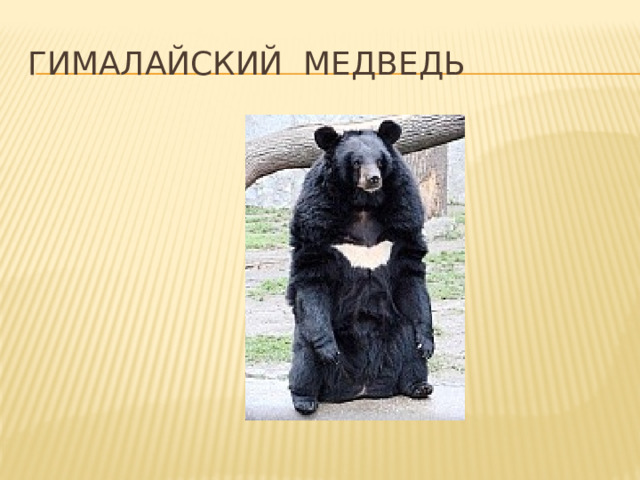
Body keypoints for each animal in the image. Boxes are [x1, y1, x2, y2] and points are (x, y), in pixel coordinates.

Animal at [286, 120, 435, 415]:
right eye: (356, 162)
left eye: (380, 161)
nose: (373, 179)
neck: (363, 204)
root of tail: (361, 388)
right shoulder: (316, 216)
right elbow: (312, 272)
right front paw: (329, 352)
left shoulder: (404, 214)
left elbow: (410, 271)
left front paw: (426, 343)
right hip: (307, 334)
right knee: (305, 359)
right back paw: (306, 400)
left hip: (397, 328)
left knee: (410, 349)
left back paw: (418, 386)